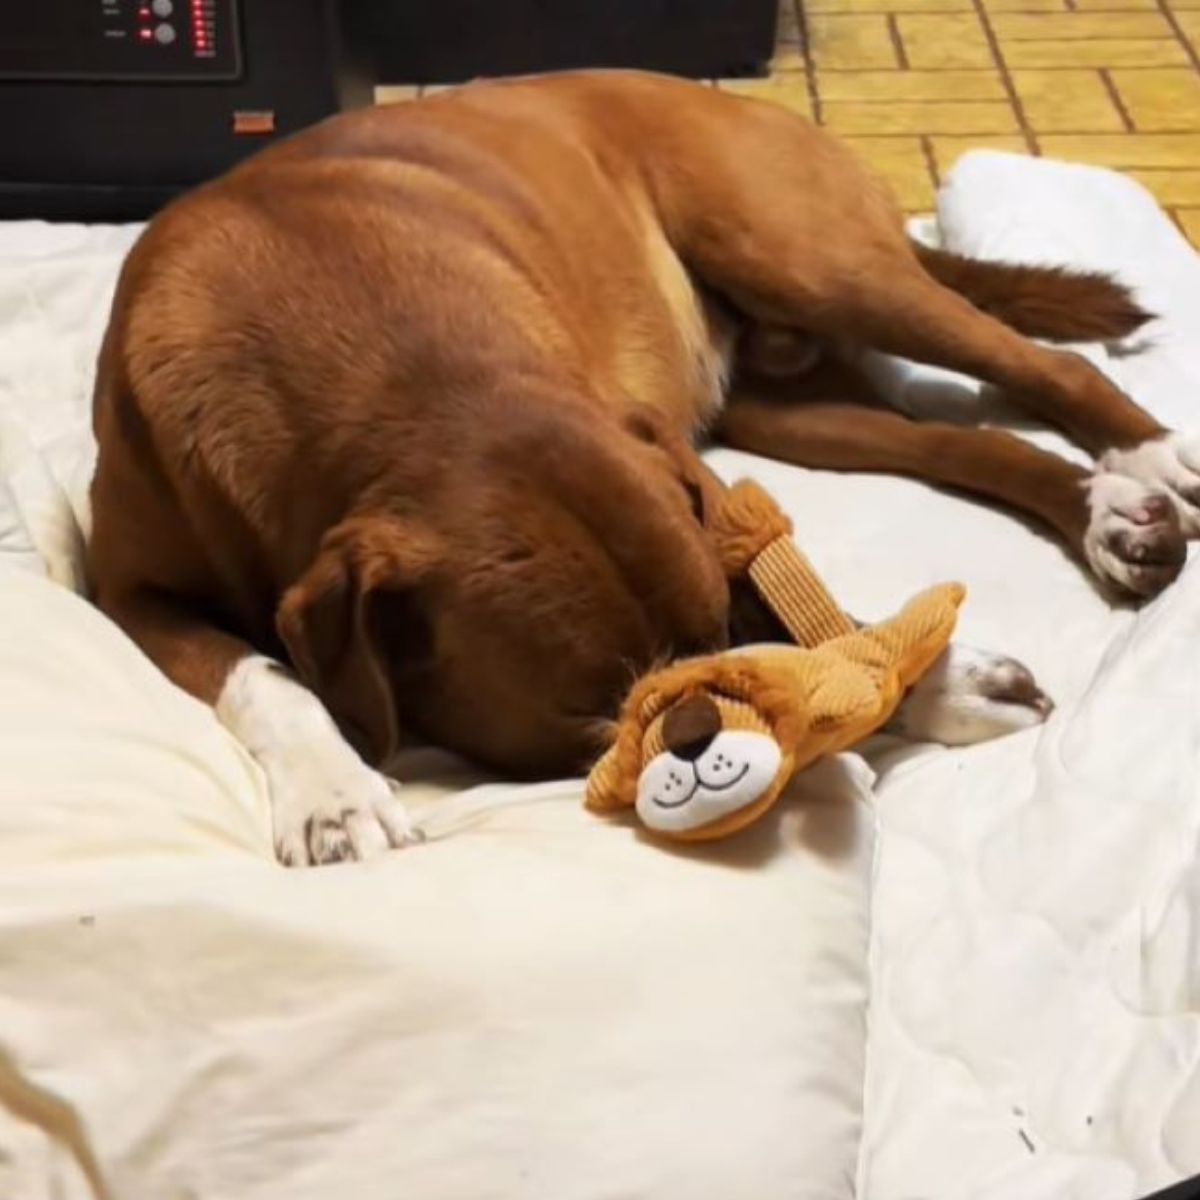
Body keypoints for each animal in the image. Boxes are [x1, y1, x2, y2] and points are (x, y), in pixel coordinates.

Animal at [88, 72, 1195, 864]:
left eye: (708, 641)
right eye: (594, 710)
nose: (703, 736)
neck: (401, 376)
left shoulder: (701, 508)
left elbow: (791, 617)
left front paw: (932, 675)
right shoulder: (130, 595)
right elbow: (264, 673)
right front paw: (333, 792)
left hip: (808, 257)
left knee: (1041, 365)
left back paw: (1142, 458)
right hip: (789, 408)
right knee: (963, 440)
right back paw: (1110, 512)